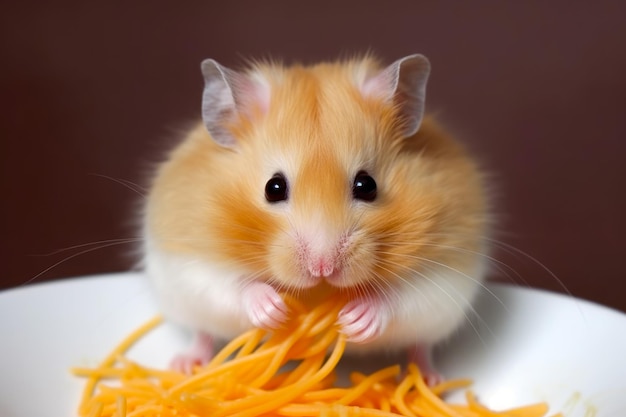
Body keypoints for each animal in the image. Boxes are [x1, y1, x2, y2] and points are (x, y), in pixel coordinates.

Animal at [141, 53, 488, 382]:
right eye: (273, 187)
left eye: (367, 185)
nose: (323, 268)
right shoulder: (190, 263)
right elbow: (233, 285)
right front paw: (274, 310)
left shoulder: (446, 273)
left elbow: (400, 295)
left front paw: (355, 319)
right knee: (202, 334)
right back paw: (186, 366)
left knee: (421, 346)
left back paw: (429, 379)